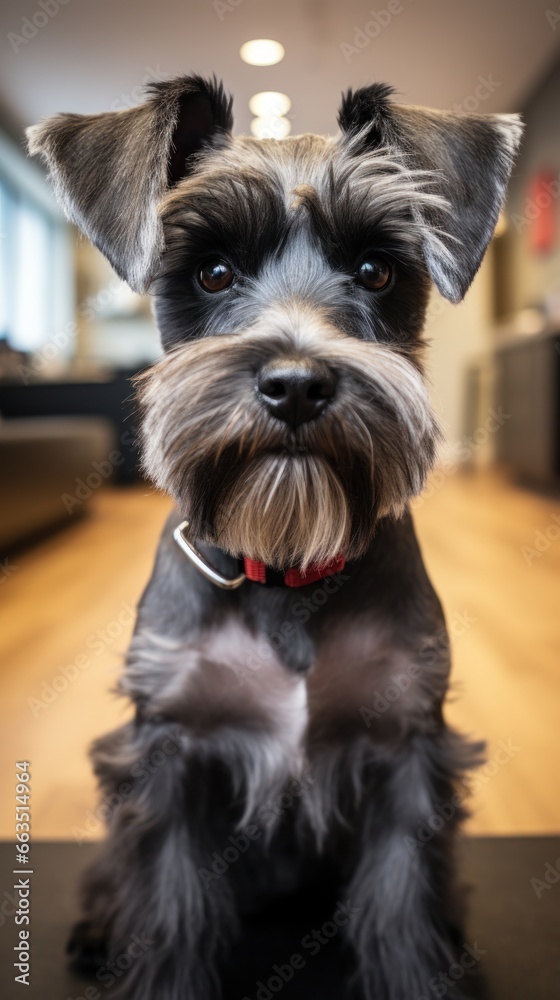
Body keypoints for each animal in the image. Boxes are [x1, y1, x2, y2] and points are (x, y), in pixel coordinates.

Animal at [28, 78, 524, 1000]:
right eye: (213, 270)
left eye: (376, 268)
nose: (296, 383)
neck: (286, 567)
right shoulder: (172, 755)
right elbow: (171, 913)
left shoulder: (406, 751)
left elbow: (401, 909)